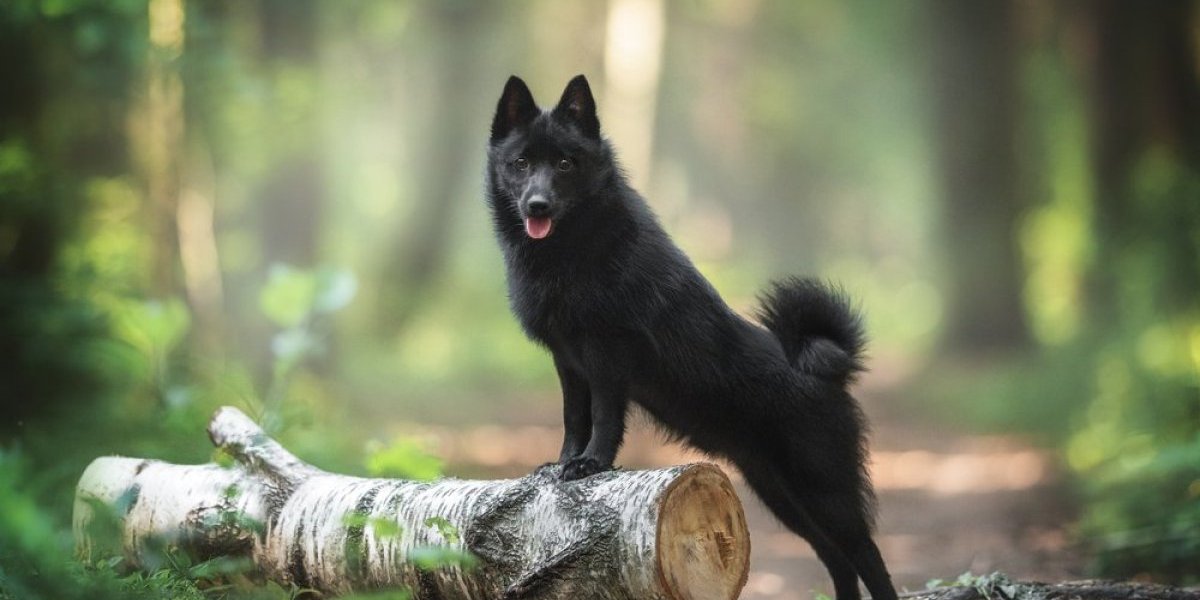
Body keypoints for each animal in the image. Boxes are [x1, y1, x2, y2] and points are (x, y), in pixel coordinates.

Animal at [482, 75, 897, 600]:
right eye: (521, 163)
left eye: (564, 163)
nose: (538, 205)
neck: (575, 250)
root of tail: (828, 372)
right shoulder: (568, 360)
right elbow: (573, 417)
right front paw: (561, 464)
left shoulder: (606, 356)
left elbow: (603, 417)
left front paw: (591, 464)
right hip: (781, 495)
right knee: (839, 562)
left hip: (824, 491)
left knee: (868, 557)